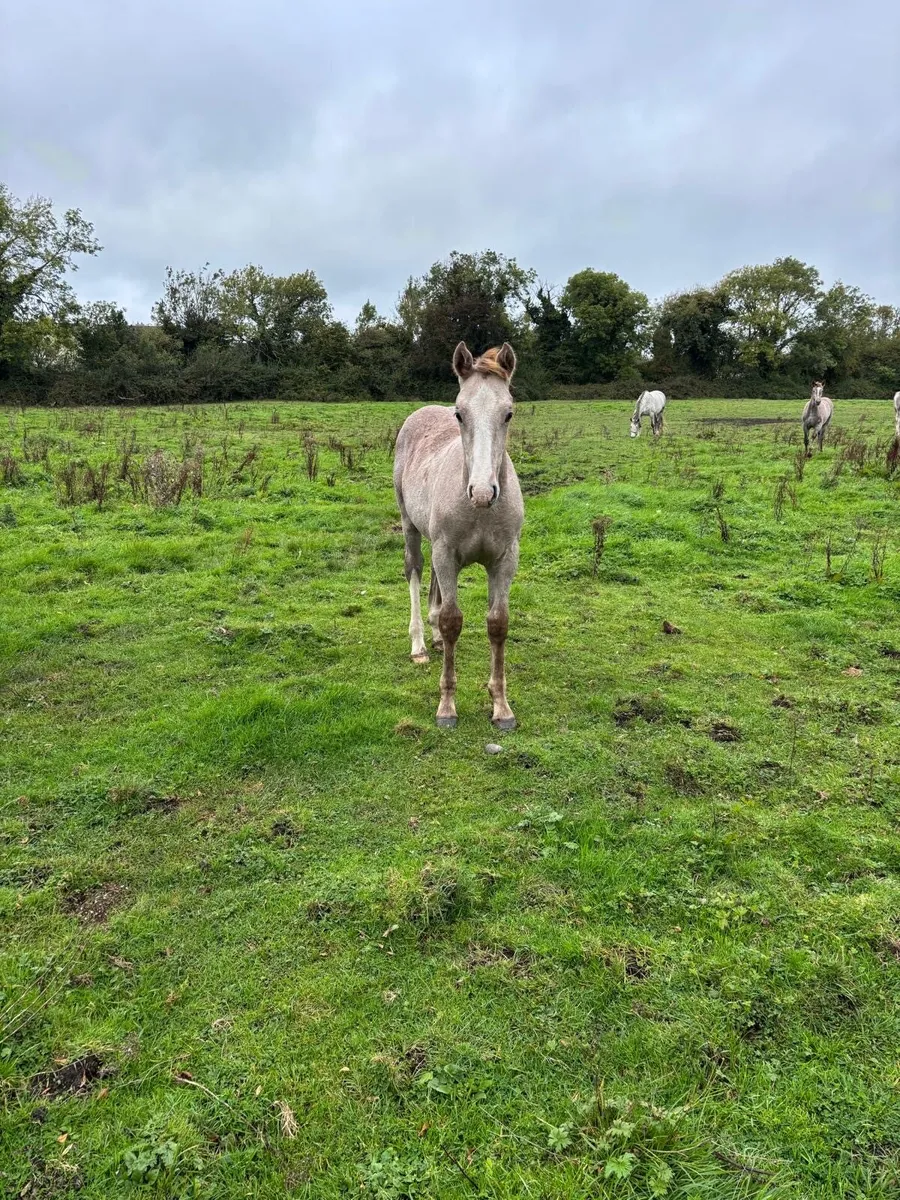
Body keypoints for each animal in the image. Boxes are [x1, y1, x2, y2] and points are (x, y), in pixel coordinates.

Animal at [393, 343, 524, 730]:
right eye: (460, 414)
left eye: (508, 413)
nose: (482, 492)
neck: (480, 511)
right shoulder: (446, 551)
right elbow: (453, 621)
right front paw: (447, 707)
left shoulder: (505, 558)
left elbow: (498, 623)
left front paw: (501, 707)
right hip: (411, 526)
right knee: (415, 569)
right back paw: (420, 645)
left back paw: (434, 637)